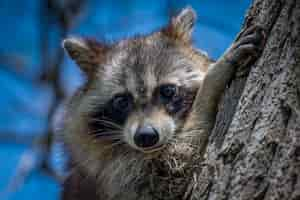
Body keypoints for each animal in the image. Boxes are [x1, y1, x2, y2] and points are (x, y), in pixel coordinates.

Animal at [61, 6, 264, 200]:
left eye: (167, 91)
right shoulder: (116, 175)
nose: (145, 136)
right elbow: (177, 165)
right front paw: (212, 79)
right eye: (121, 101)